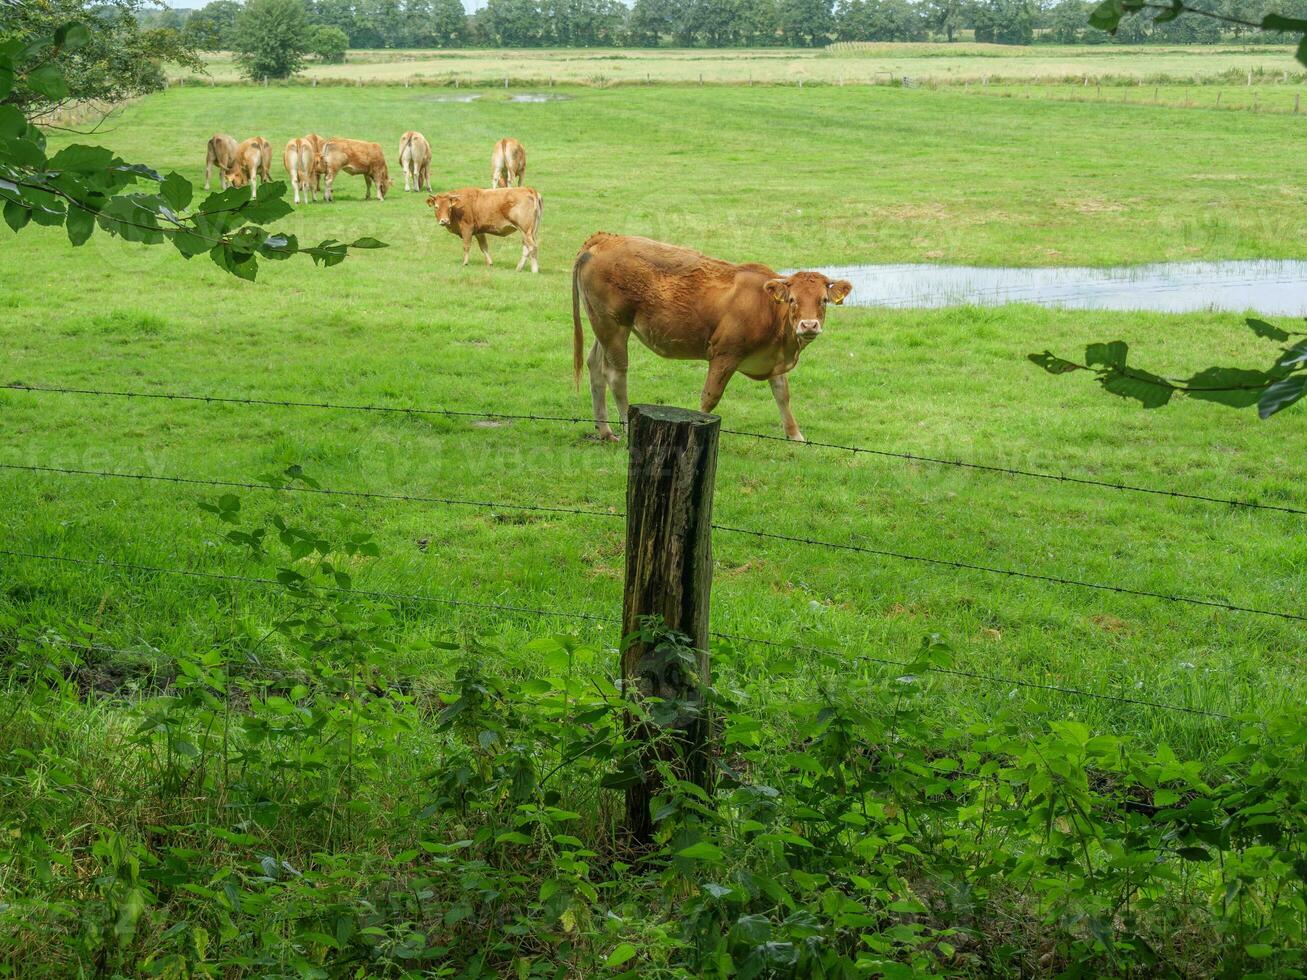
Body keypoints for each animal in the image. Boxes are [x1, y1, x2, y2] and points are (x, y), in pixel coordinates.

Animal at [569, 233, 852, 441]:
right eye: (793, 300)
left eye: (823, 300)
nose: (809, 325)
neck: (767, 306)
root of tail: (605, 238)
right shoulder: (725, 354)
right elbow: (710, 397)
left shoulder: (772, 357)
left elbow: (782, 393)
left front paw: (795, 436)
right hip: (614, 327)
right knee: (615, 375)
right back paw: (626, 428)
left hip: (605, 326)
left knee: (595, 366)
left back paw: (605, 431)